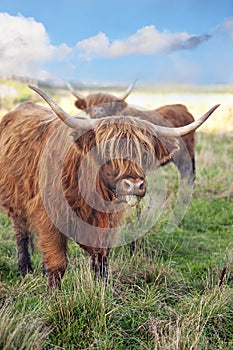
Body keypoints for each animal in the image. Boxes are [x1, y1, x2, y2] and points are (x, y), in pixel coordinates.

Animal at [0, 85, 218, 288]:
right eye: (106, 151)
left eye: (144, 153)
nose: (134, 185)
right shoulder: (49, 218)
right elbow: (57, 263)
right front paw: (54, 295)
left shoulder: (106, 225)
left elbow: (101, 261)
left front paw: (101, 290)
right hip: (14, 201)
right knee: (21, 232)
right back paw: (25, 268)